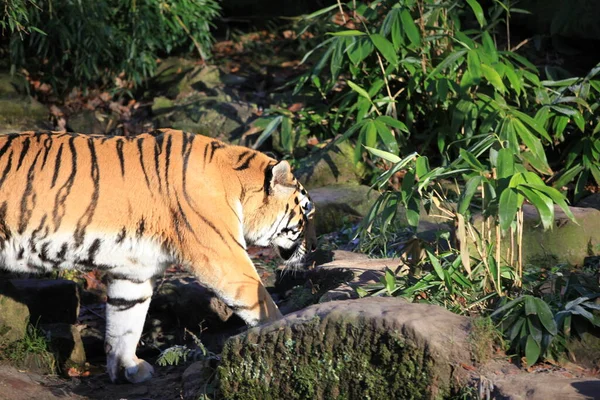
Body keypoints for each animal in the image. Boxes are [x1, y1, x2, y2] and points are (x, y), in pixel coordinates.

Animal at [0, 130, 318, 382]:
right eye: (305, 211)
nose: (314, 248)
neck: (234, 180)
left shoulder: (134, 270)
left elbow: (126, 319)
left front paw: (127, 368)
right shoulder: (221, 255)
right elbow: (260, 299)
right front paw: (279, 333)